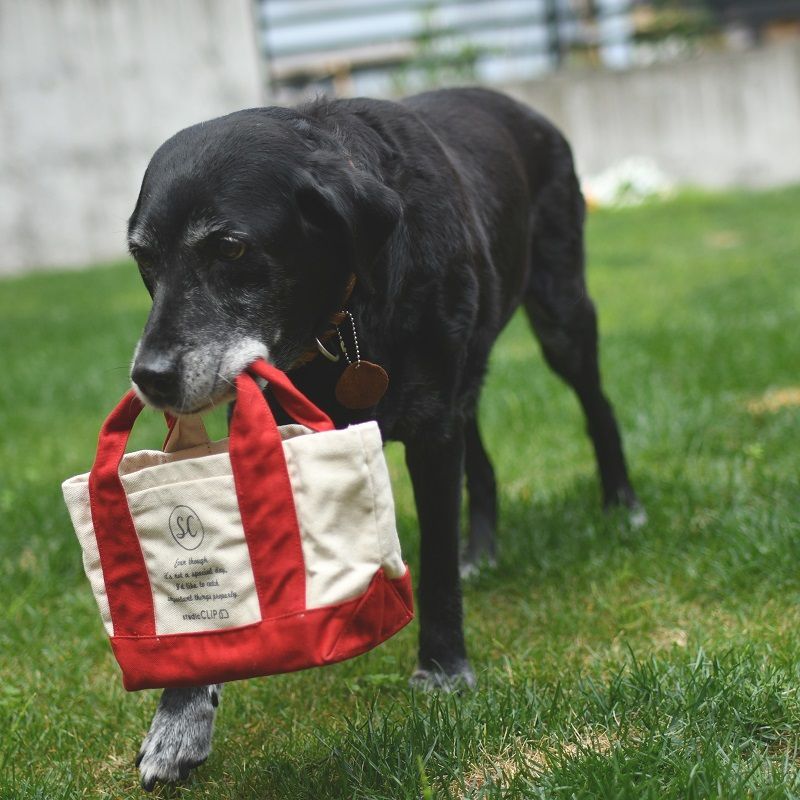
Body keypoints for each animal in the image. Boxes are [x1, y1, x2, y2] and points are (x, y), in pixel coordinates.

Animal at [126, 87, 636, 788]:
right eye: (143, 258)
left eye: (230, 249)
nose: (148, 377)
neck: (341, 320)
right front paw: (178, 721)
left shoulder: (432, 431)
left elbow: (438, 562)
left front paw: (443, 668)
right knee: (482, 460)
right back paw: (485, 549)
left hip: (559, 315)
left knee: (597, 406)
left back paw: (622, 503)